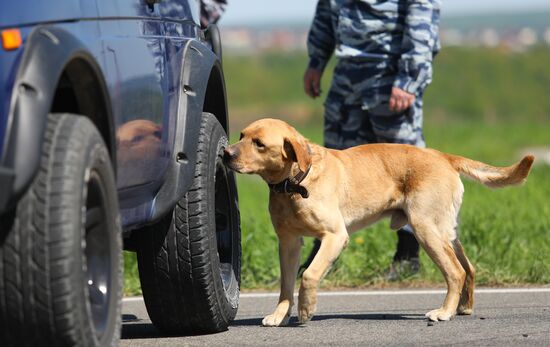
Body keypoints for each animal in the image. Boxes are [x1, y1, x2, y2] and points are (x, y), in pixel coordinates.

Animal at [224, 119, 536, 326]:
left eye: (259, 144)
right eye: (242, 135)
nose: (226, 153)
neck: (294, 184)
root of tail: (444, 156)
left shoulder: (335, 236)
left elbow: (309, 275)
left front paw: (306, 309)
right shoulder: (288, 243)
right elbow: (286, 284)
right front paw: (280, 314)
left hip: (426, 228)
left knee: (455, 272)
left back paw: (444, 312)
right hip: (445, 230)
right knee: (468, 267)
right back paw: (464, 307)